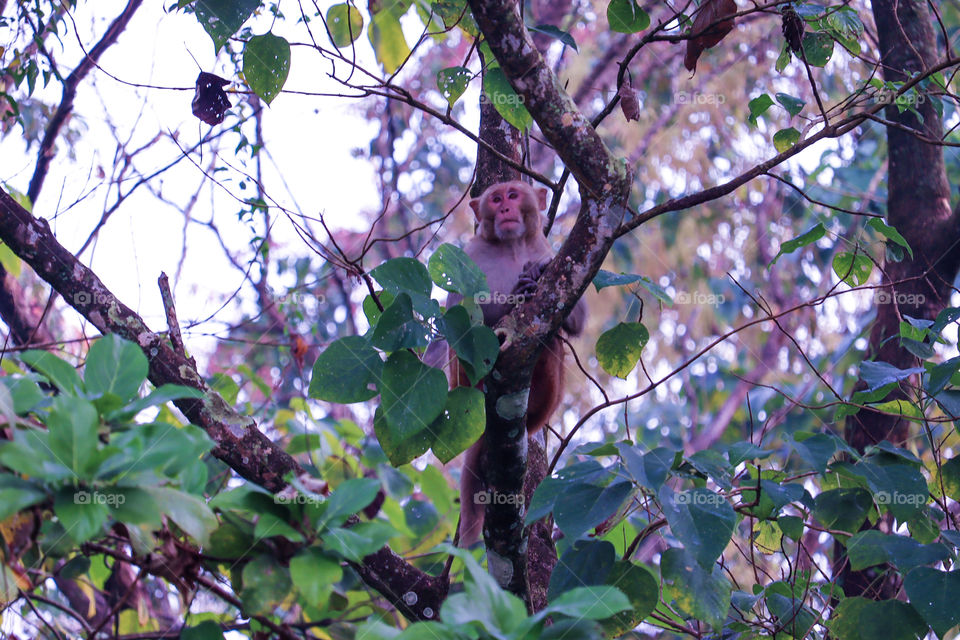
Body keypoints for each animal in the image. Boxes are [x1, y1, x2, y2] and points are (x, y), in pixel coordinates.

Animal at [450, 180, 585, 546]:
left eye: (513, 195)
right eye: (496, 199)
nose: (506, 209)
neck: (511, 247)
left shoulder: (547, 250)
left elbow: (573, 319)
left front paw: (534, 276)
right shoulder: (469, 254)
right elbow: (459, 319)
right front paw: (518, 290)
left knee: (551, 340)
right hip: (464, 382)